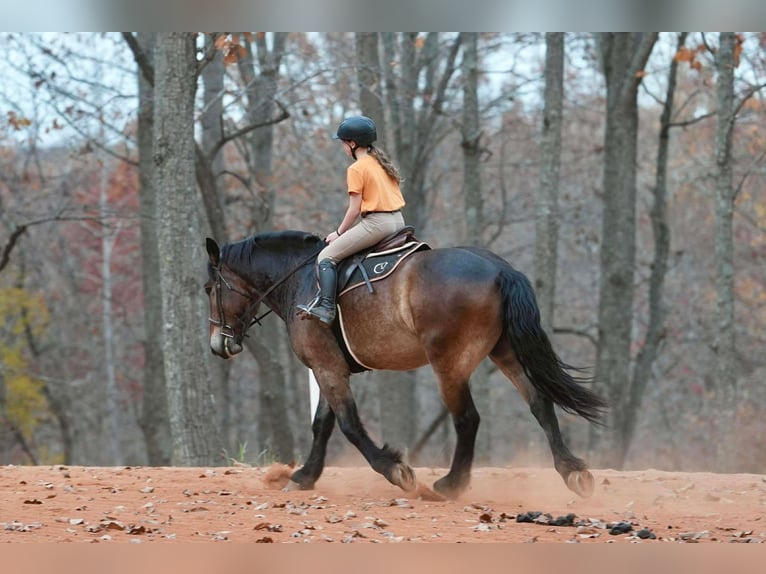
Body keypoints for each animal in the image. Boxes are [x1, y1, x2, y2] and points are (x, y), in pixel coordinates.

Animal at [204, 230, 607, 500]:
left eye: (210, 289)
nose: (218, 344)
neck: (303, 279)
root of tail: (498, 270)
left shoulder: (326, 366)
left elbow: (349, 426)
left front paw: (395, 469)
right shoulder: (329, 367)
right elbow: (323, 425)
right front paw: (304, 476)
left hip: (449, 364)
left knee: (468, 419)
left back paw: (451, 484)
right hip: (504, 352)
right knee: (540, 404)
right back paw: (573, 471)